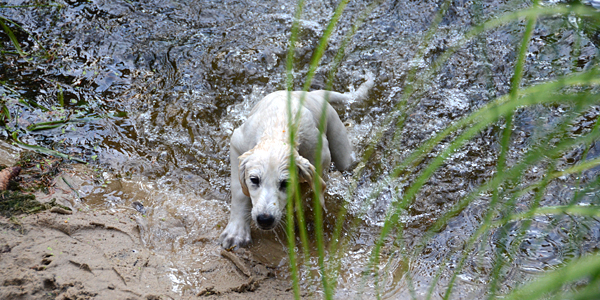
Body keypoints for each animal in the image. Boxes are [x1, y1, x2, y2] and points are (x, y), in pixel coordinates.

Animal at [218, 75, 372, 248]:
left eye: (285, 183)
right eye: (254, 180)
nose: (264, 219)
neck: (281, 127)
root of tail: (313, 94)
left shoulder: (320, 159)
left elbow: (307, 190)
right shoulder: (238, 143)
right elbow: (239, 193)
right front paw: (236, 233)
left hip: (340, 148)